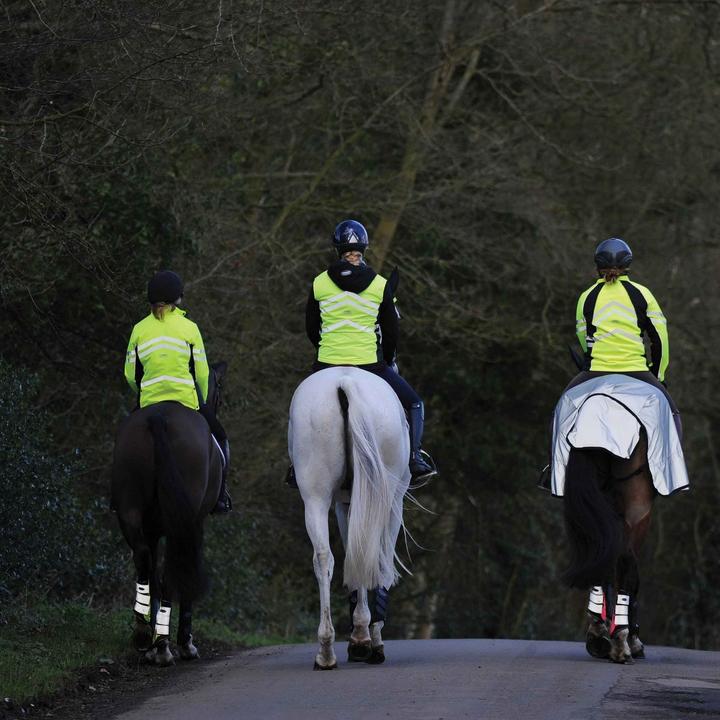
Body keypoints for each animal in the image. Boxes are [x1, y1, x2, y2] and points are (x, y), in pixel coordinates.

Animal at [111, 362, 227, 666]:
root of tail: (158, 418)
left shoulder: (152, 529)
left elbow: (150, 573)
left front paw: (152, 640)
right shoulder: (196, 523)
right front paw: (184, 643)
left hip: (129, 510)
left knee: (143, 561)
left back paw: (144, 636)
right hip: (182, 522)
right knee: (170, 574)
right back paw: (165, 647)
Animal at [288, 366, 411, 670]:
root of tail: (344, 382)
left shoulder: (344, 502)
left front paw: (359, 636)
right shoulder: (392, 501)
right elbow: (378, 559)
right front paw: (365, 638)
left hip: (315, 496)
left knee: (324, 557)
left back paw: (326, 651)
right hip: (388, 495)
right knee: (375, 556)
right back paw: (363, 643)